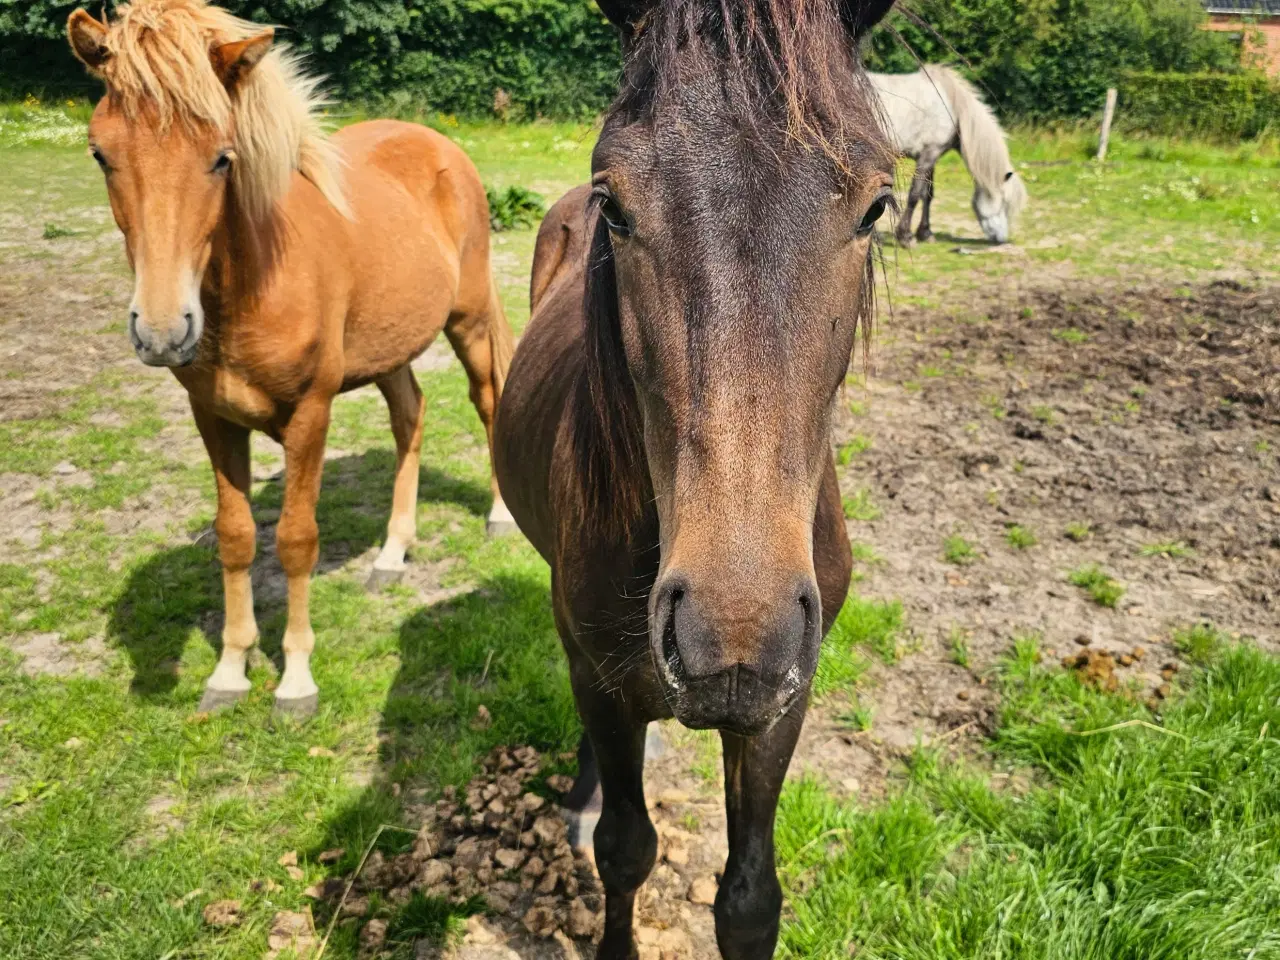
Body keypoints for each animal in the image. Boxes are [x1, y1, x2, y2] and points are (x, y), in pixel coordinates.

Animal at [66, 0, 514, 716]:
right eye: (101, 154)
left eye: (222, 159)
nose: (162, 332)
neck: (255, 283)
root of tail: (440, 146)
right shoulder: (214, 418)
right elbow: (237, 537)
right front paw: (229, 670)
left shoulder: (310, 416)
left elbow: (296, 539)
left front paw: (296, 680)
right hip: (390, 349)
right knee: (410, 417)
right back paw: (392, 553)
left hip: (467, 321)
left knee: (489, 402)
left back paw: (499, 518)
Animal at [494, 0, 896, 957]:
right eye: (614, 203)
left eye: (877, 205)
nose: (734, 638)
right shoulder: (605, 682)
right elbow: (625, 850)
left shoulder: (781, 705)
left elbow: (748, 900)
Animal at [865, 64, 1024, 244]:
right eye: (1005, 203)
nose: (1001, 239)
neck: (953, 108)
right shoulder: (927, 156)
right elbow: (914, 194)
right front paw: (905, 236)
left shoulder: (931, 157)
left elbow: (928, 195)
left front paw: (925, 233)